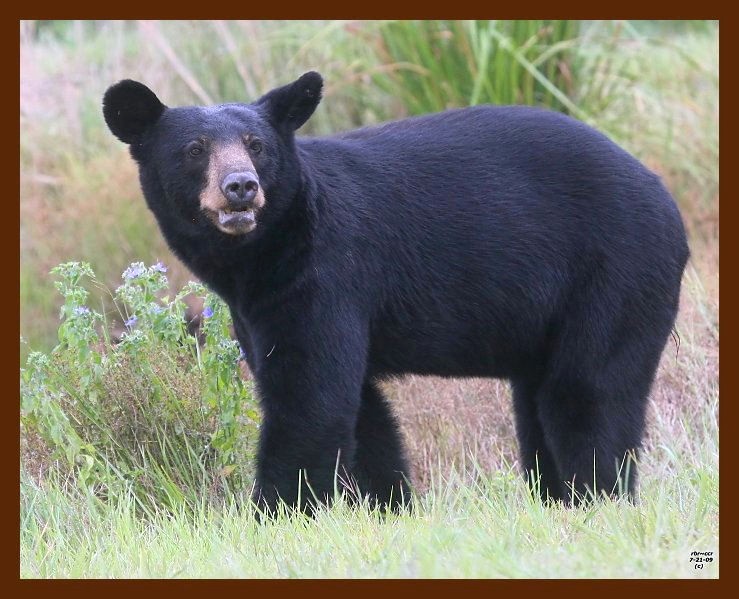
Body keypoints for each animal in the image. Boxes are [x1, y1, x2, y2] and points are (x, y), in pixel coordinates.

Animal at [101, 72, 692, 516]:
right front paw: (390, 507)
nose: (241, 187)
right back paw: (559, 500)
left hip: (613, 270)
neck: (258, 258)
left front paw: (274, 515)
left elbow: (310, 399)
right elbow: (361, 411)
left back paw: (599, 498)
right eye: (195, 149)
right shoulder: (259, 304)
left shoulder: (326, 273)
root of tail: (663, 194)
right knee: (541, 401)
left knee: (589, 389)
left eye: (256, 146)